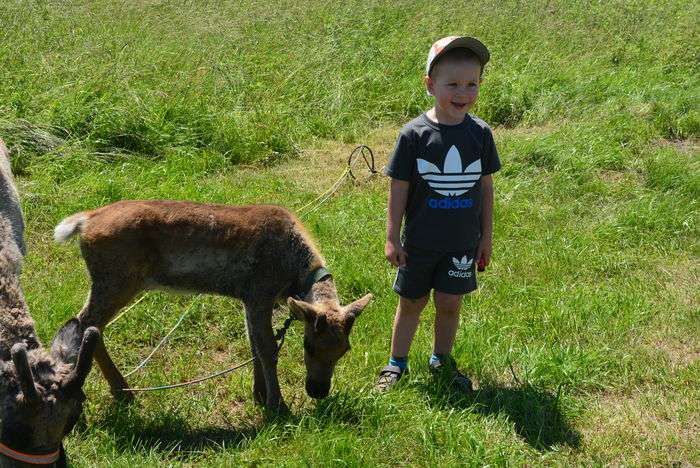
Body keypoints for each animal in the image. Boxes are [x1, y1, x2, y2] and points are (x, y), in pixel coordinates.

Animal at [53, 201, 372, 410]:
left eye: (345, 350)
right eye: (308, 345)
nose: (318, 391)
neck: (293, 274)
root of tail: (84, 221)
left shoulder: (249, 298)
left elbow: (254, 344)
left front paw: (259, 394)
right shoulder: (259, 291)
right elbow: (268, 348)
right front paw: (277, 404)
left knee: (90, 325)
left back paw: (121, 390)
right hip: (116, 281)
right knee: (85, 322)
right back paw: (119, 391)